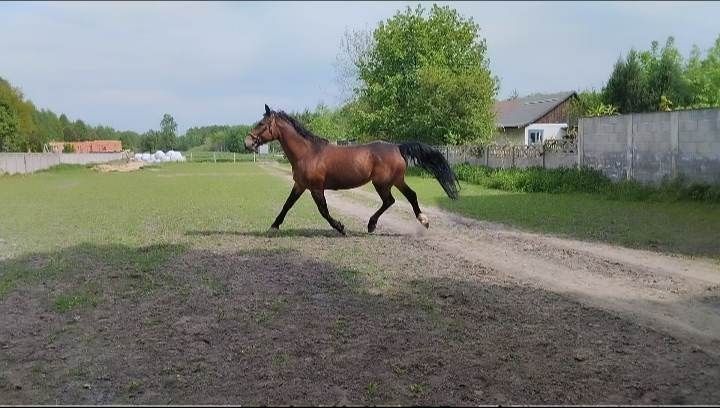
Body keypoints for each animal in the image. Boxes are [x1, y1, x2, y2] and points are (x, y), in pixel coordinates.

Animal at [245, 103, 458, 234]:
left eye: (261, 123)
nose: (247, 142)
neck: (309, 153)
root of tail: (397, 147)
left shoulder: (316, 188)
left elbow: (323, 210)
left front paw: (340, 227)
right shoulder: (300, 185)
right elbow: (287, 204)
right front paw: (274, 226)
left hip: (382, 183)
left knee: (390, 200)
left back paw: (372, 224)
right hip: (395, 180)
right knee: (409, 195)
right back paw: (423, 220)